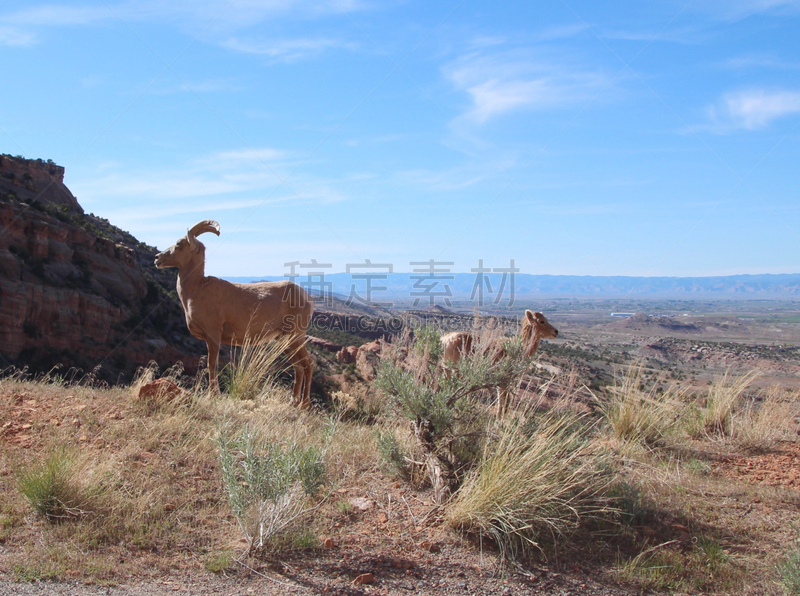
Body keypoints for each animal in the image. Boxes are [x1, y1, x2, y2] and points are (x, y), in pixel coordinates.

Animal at [155, 221, 314, 408]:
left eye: (179, 243)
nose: (157, 258)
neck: (197, 289)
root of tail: (308, 299)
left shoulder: (213, 335)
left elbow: (212, 364)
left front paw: (213, 395)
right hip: (285, 341)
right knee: (298, 366)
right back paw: (293, 402)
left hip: (295, 337)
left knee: (308, 364)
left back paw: (304, 404)